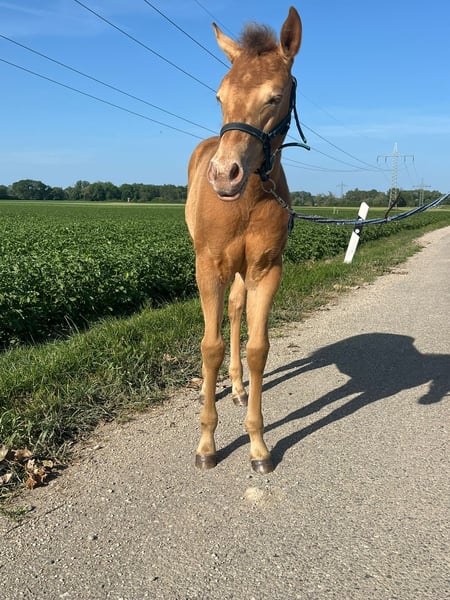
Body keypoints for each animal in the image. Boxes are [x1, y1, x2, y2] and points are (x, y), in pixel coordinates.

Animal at [185, 7, 303, 474]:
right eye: (219, 96)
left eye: (275, 96)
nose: (224, 174)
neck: (248, 201)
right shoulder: (208, 267)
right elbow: (210, 346)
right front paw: (206, 445)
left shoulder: (266, 270)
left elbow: (257, 349)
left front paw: (258, 446)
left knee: (236, 309)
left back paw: (236, 388)